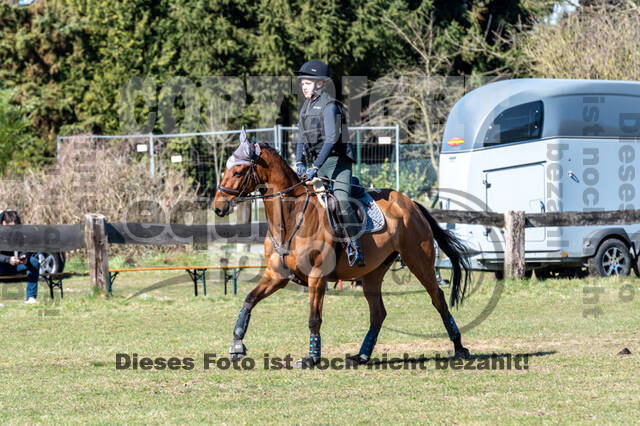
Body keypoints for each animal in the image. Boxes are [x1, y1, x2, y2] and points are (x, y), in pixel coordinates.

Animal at [212, 131, 472, 368]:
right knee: (378, 313)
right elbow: (249, 300)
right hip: (373, 273)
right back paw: (362, 356)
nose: (217, 207)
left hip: (419, 261)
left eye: (237, 172)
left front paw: (312, 357)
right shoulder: (276, 275)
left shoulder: (317, 277)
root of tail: (411, 204)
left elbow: (314, 318)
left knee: (438, 299)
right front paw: (236, 345)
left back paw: (460, 347)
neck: (292, 217)